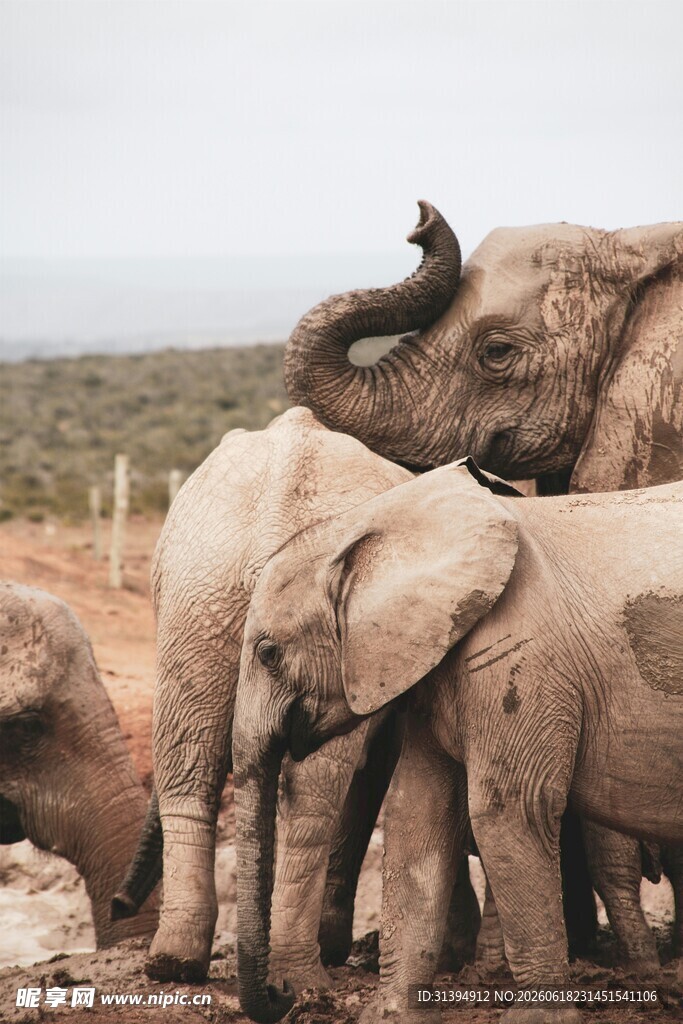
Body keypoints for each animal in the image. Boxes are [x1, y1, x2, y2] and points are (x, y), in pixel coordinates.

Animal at [233, 458, 683, 1023]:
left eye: (268, 654)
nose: (285, 997)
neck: (384, 522)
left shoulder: (518, 657)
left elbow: (509, 810)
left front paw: (539, 1020)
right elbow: (416, 813)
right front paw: (390, 1015)